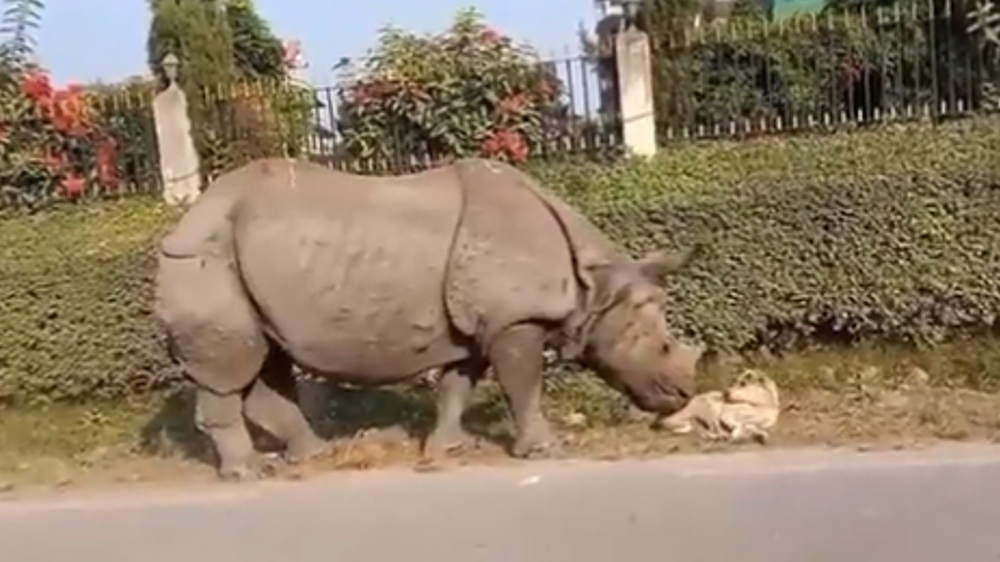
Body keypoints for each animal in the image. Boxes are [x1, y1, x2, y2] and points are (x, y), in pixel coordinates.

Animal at [154, 157, 701, 480]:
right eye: (659, 345)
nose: (683, 395)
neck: (593, 285)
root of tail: (184, 220)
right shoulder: (514, 321)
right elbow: (524, 386)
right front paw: (546, 451)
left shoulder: (478, 327)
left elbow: (458, 385)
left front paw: (448, 449)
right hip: (205, 258)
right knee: (233, 368)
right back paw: (247, 473)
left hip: (241, 261)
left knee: (264, 360)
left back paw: (313, 457)